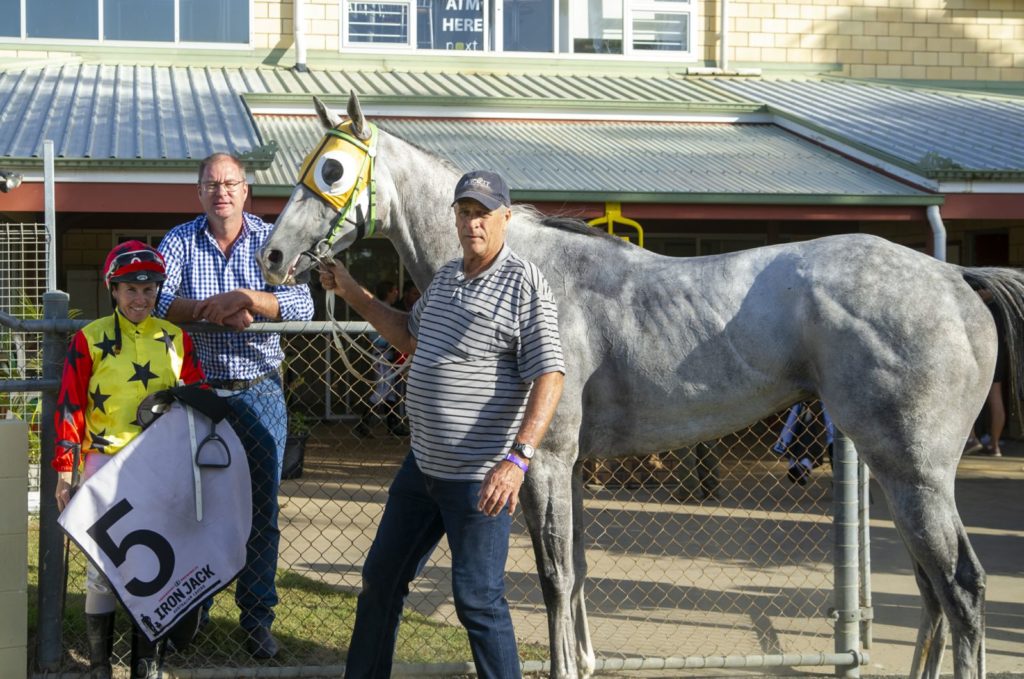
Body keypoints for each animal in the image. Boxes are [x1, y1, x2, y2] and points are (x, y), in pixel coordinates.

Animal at [258, 91, 1024, 679]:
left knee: (961, 589)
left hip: (914, 472)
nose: (273, 254)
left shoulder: (544, 463)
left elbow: (554, 577)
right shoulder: (568, 467)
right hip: (899, 473)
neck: (526, 265)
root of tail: (957, 277)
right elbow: (577, 571)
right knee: (932, 593)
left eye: (332, 168)